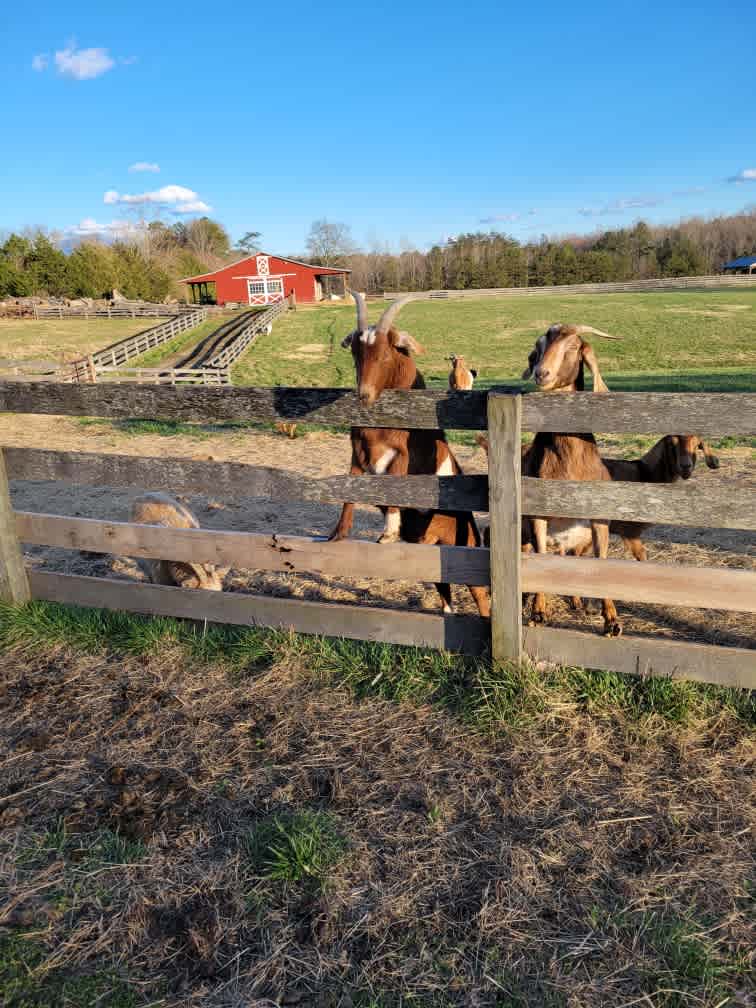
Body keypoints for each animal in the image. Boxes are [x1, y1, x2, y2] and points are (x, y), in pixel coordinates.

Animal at [330, 292, 491, 616]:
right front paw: (338, 532)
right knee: (444, 588)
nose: (363, 395)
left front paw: (389, 532)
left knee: (482, 595)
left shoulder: (405, 454)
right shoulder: (358, 452)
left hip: (466, 545)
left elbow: (395, 481)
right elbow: (349, 486)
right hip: (432, 551)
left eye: (385, 355)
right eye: (355, 354)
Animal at [520, 322, 628, 633]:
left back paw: (579, 601)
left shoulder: (599, 519)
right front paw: (538, 613)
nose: (541, 373)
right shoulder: (537, 515)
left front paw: (612, 621)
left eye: (572, 347)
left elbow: (601, 562)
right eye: (540, 346)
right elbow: (539, 557)